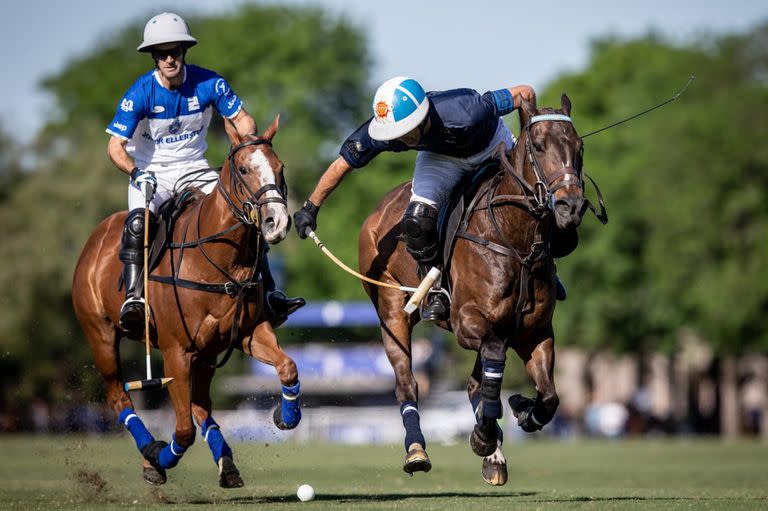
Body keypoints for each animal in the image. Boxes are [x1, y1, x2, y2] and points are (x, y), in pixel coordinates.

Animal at [72, 116, 300, 488]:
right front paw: (157, 458)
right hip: (100, 334)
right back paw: (151, 452)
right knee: (119, 395)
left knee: (200, 405)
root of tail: (95, 237)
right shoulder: (175, 350)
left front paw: (286, 415)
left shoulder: (248, 332)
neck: (221, 257)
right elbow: (182, 432)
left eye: (279, 167)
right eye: (243, 168)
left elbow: (288, 366)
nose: (276, 223)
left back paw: (227, 466)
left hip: (206, 352)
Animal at [356, 95, 592, 484]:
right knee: (408, 383)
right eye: (539, 145)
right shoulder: (468, 321)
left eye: (579, 147)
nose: (569, 206)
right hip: (391, 309)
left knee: (475, 382)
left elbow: (550, 397)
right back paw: (418, 451)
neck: (515, 241)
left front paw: (521, 411)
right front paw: (485, 435)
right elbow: (492, 367)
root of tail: (377, 211)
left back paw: (494, 452)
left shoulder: (534, 332)